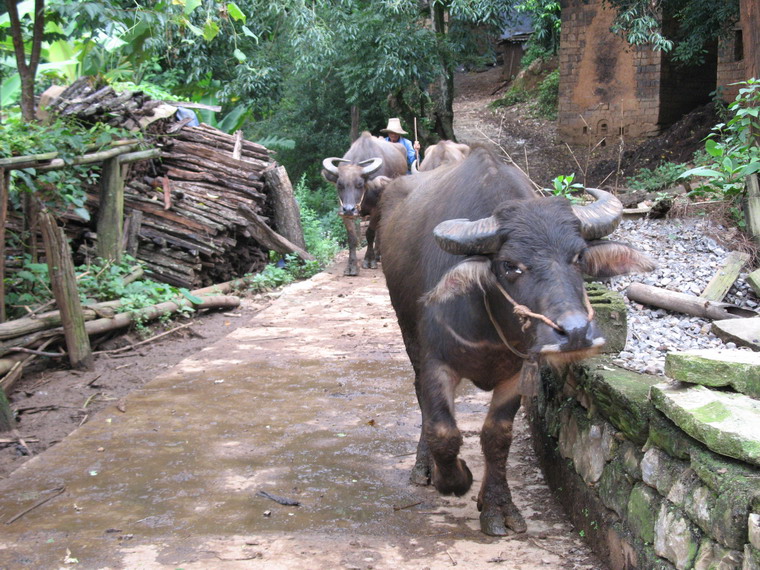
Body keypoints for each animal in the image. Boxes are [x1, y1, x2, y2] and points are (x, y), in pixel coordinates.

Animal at [326, 133, 410, 276]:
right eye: (339, 184)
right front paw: (352, 266)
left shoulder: (376, 209)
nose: (349, 209)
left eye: (359, 184)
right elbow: (352, 237)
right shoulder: (343, 211)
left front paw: (369, 261)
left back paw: (378, 255)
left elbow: (370, 233)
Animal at [380, 146, 652, 532]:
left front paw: (497, 505)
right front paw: (457, 478)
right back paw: (424, 465)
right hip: (409, 336)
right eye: (511, 265)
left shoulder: (517, 373)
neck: (489, 324)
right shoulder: (437, 363)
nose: (575, 333)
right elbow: (443, 430)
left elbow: (497, 436)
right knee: (421, 398)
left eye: (579, 256)